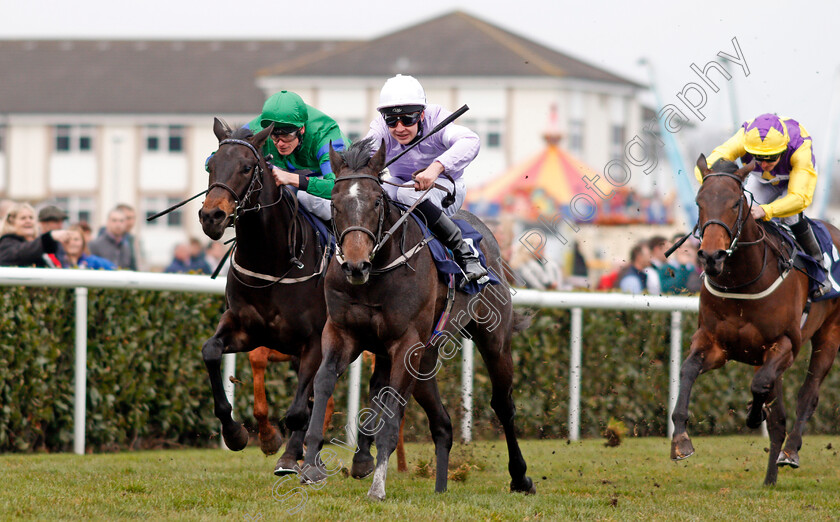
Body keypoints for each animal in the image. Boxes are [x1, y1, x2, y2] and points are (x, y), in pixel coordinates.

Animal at [198, 119, 328, 472]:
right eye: (211, 165)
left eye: (246, 167)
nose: (211, 216)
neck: (271, 261)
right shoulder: (246, 329)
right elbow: (210, 351)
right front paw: (236, 433)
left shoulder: (314, 341)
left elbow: (299, 410)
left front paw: (287, 452)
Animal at [298, 139, 532, 500]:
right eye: (334, 204)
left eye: (376, 200)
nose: (355, 265)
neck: (378, 272)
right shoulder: (341, 332)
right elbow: (323, 381)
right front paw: (311, 463)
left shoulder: (406, 343)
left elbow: (392, 408)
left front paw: (378, 486)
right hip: (425, 359)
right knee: (442, 422)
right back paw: (439, 486)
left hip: (493, 338)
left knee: (503, 404)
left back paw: (520, 477)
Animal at [668, 154, 840, 484]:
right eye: (699, 202)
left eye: (736, 203)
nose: (711, 256)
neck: (742, 281)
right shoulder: (715, 343)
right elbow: (687, 371)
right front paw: (681, 439)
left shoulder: (786, 343)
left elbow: (760, 385)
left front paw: (752, 413)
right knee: (780, 416)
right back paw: (770, 478)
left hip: (829, 332)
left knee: (808, 394)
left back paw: (790, 451)